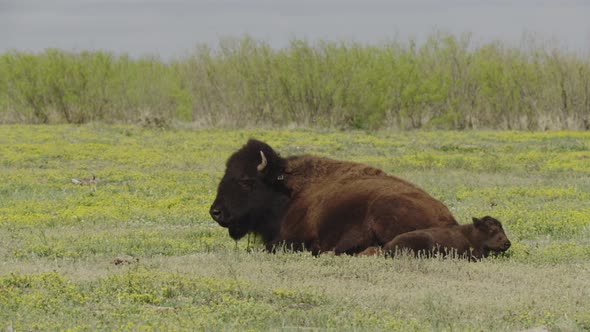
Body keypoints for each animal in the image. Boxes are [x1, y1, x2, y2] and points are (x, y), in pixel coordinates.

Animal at [210, 138, 460, 254]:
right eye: (225, 174)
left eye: (246, 180)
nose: (216, 212)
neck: (286, 189)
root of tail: (450, 220)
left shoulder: (292, 238)